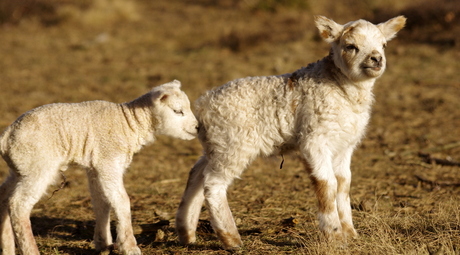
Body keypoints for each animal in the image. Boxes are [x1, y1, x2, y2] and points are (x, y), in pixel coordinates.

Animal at [0, 80, 198, 255]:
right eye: (178, 111)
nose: (197, 127)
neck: (130, 123)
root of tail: (6, 137)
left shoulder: (95, 166)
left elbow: (102, 202)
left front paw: (103, 243)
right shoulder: (108, 161)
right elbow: (121, 200)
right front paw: (129, 246)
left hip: (20, 168)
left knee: (4, 197)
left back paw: (7, 248)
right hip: (38, 166)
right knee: (19, 204)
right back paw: (30, 250)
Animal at [175, 14, 406, 249]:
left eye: (384, 45)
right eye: (351, 46)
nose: (376, 59)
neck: (342, 88)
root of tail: (202, 105)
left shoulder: (344, 145)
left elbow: (343, 185)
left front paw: (350, 233)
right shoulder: (314, 139)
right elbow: (327, 184)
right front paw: (334, 236)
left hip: (216, 144)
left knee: (197, 173)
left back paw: (187, 232)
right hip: (234, 144)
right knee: (213, 184)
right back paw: (231, 238)